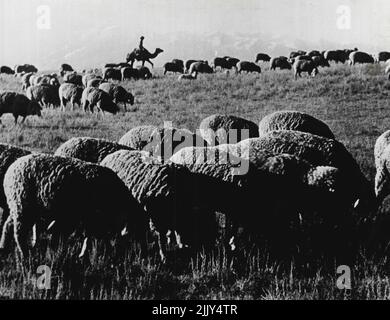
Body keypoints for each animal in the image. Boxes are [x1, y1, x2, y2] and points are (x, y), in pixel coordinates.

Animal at [0, 154, 146, 258]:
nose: (142, 253)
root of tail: (11, 170)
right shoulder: (92, 216)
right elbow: (91, 236)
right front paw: (85, 253)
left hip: (17, 206)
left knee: (8, 225)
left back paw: (4, 246)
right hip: (23, 206)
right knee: (19, 232)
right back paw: (25, 254)